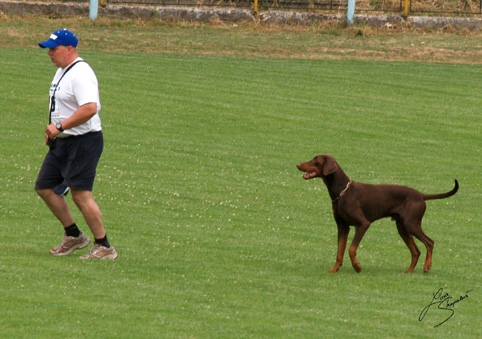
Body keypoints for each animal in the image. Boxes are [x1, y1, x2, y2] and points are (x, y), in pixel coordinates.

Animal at [296, 155, 458, 274]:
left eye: (315, 161)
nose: (297, 164)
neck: (342, 192)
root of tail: (421, 195)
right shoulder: (342, 227)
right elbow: (339, 252)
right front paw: (334, 270)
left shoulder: (363, 224)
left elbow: (351, 249)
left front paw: (357, 267)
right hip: (402, 228)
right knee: (416, 251)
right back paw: (409, 271)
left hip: (411, 224)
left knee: (430, 242)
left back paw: (427, 266)